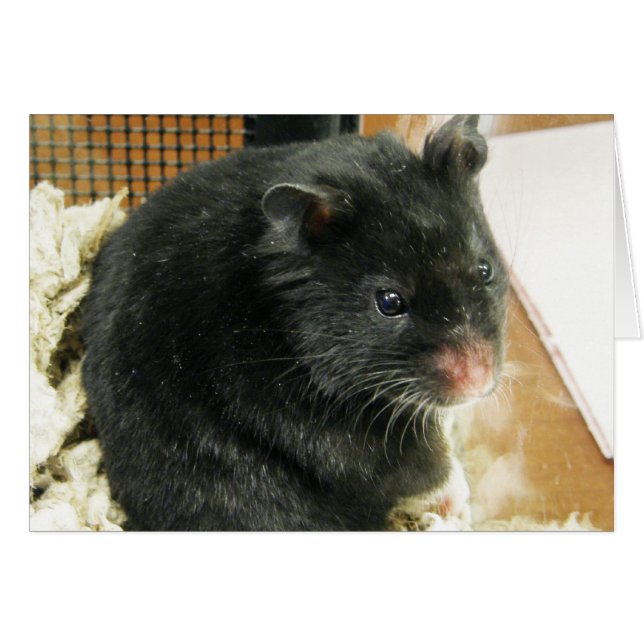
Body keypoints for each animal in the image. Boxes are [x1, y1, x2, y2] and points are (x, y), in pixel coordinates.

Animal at [81, 114, 508, 531]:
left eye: (485, 270)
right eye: (389, 302)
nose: (479, 384)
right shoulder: (341, 438)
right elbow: (426, 469)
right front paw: (457, 499)